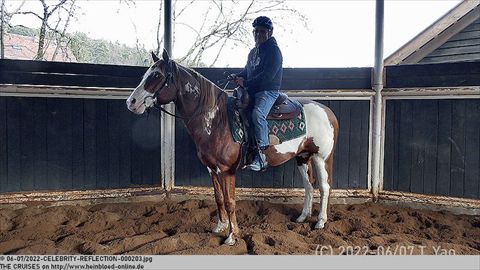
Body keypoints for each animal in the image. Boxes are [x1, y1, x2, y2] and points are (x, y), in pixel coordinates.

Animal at [125, 49, 340, 246]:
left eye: (156, 75)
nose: (131, 102)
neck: (215, 119)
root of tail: (328, 111)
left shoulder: (227, 170)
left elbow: (230, 202)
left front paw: (232, 235)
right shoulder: (212, 169)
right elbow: (219, 198)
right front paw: (220, 227)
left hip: (322, 157)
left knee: (324, 186)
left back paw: (320, 221)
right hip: (302, 156)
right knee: (309, 185)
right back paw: (303, 217)